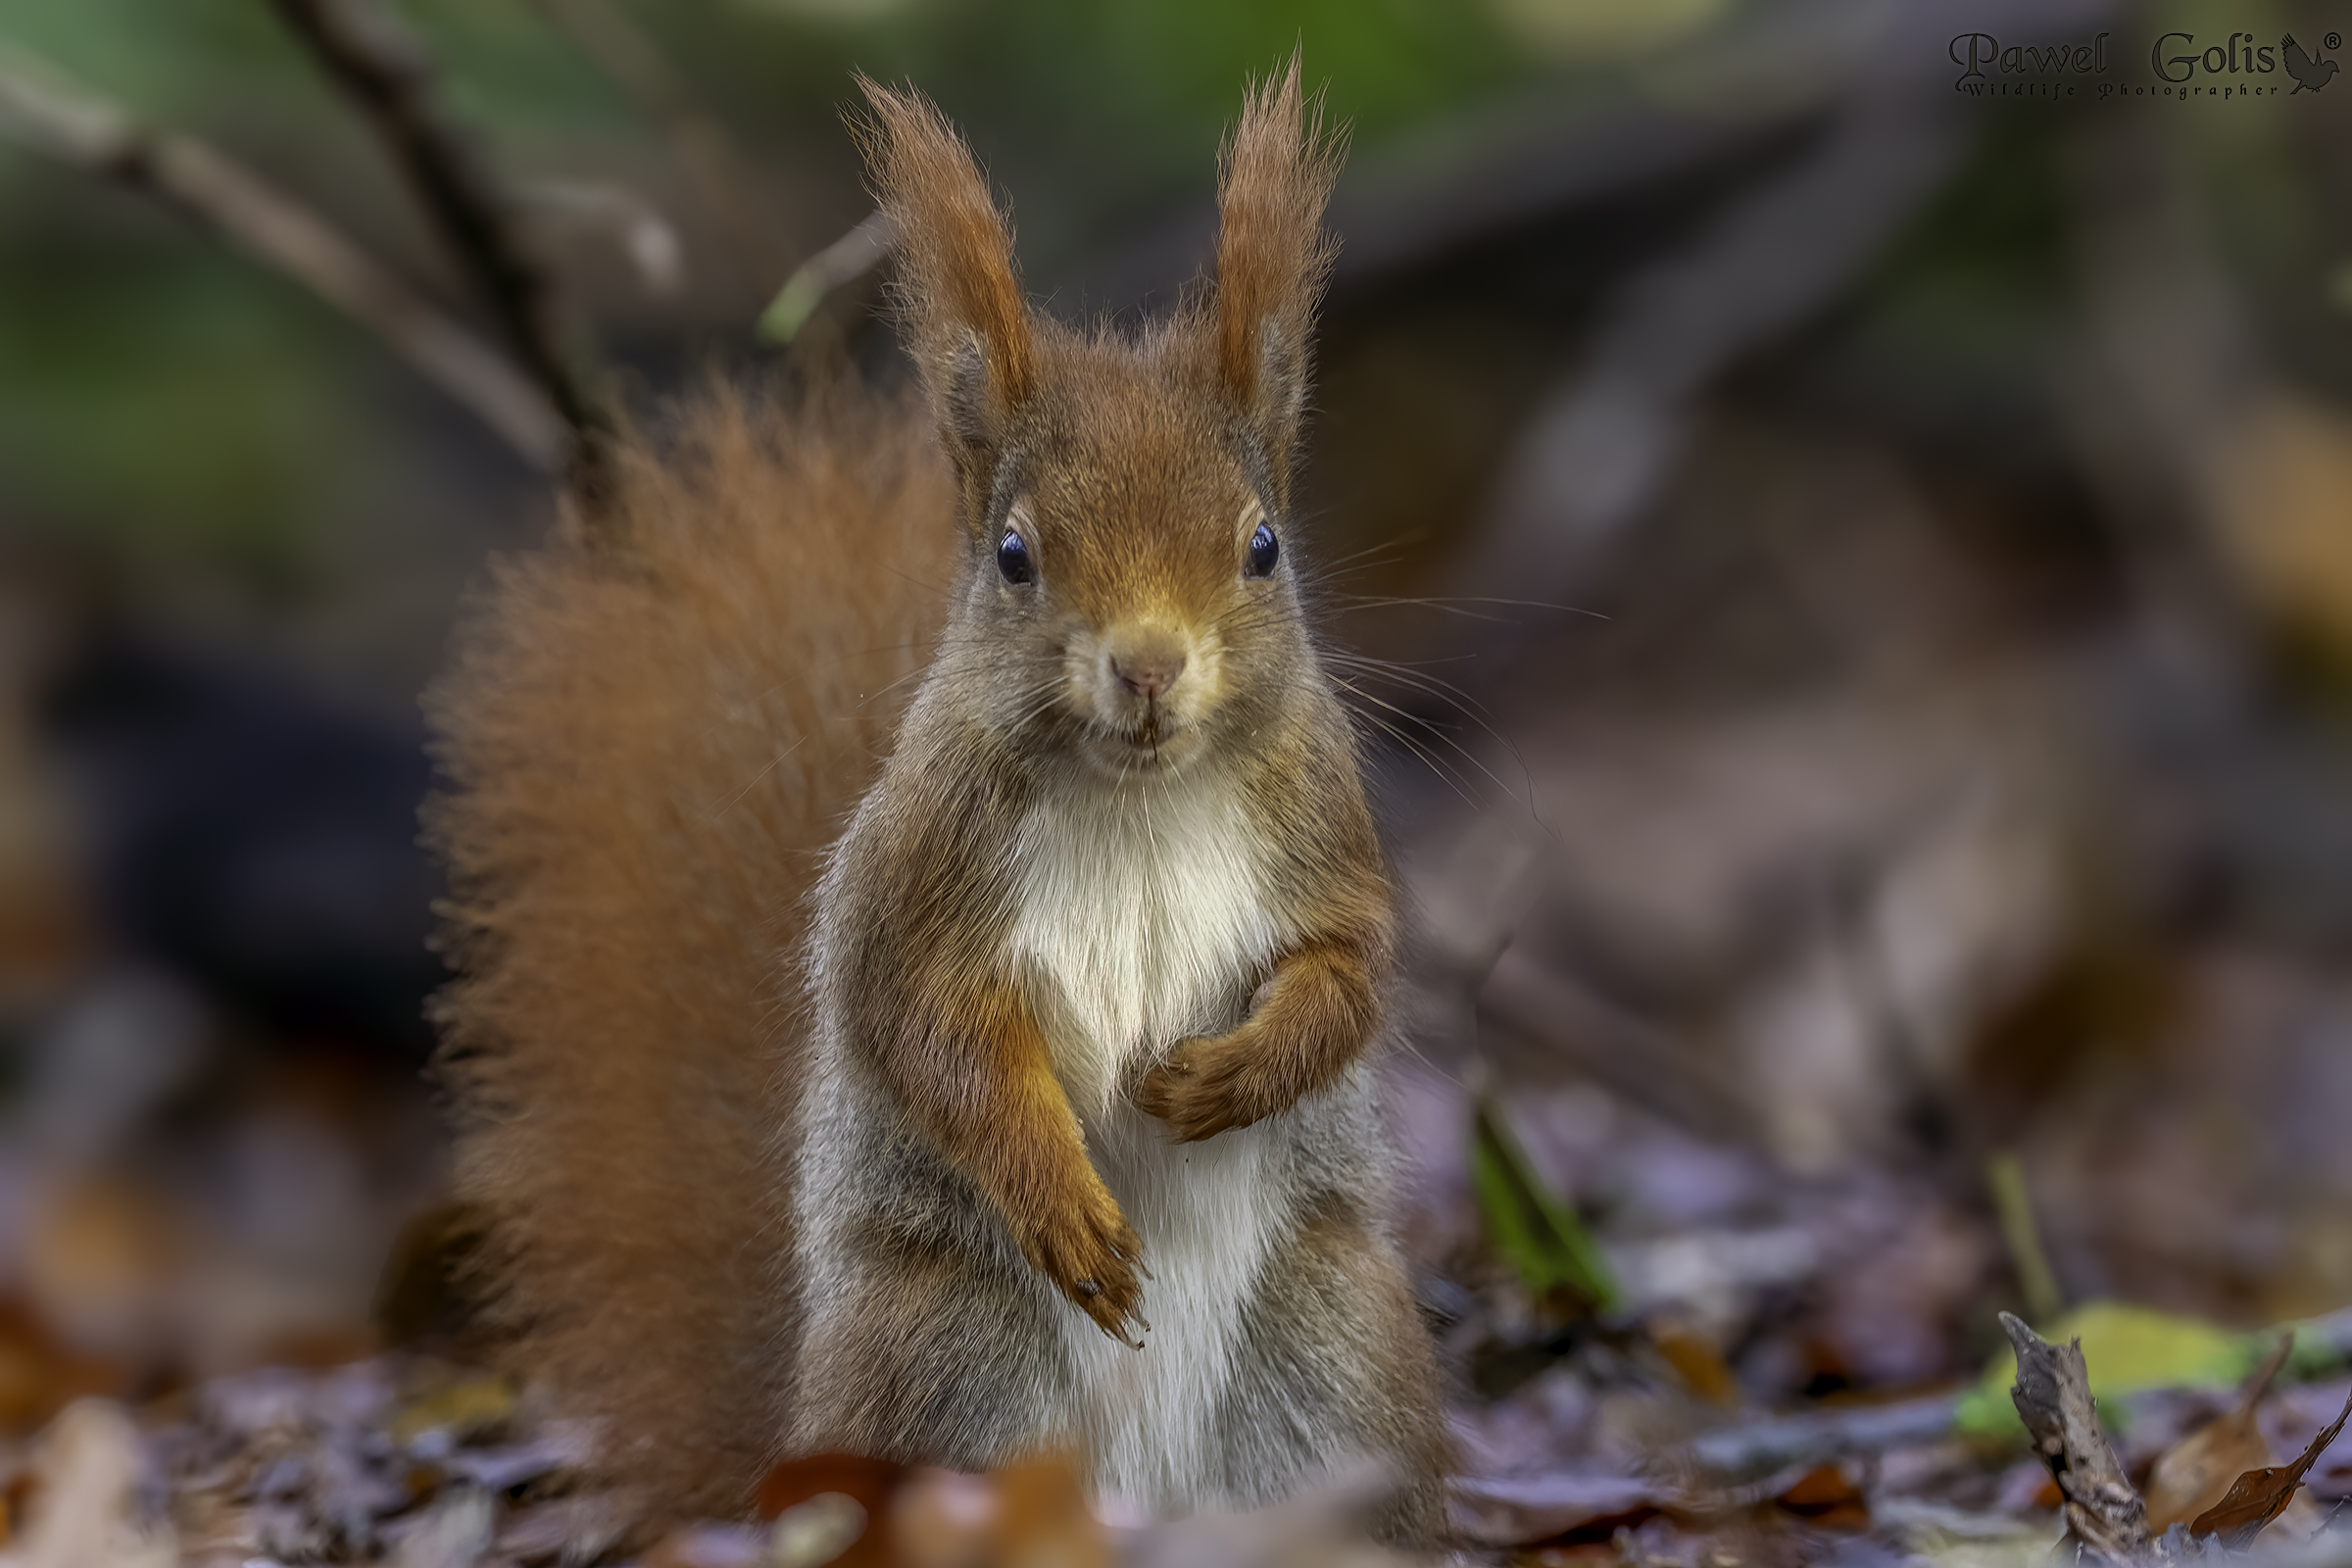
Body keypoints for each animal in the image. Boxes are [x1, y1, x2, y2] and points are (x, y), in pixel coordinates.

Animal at [425, 58, 1447, 1543]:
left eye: (1262, 546)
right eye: (1015, 555)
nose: (1148, 664)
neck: (1137, 796)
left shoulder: (1320, 821)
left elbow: (1352, 970)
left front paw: (1225, 1074)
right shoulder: (921, 872)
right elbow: (921, 1028)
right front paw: (1063, 1200)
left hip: (1334, 1355)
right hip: (941, 1361)